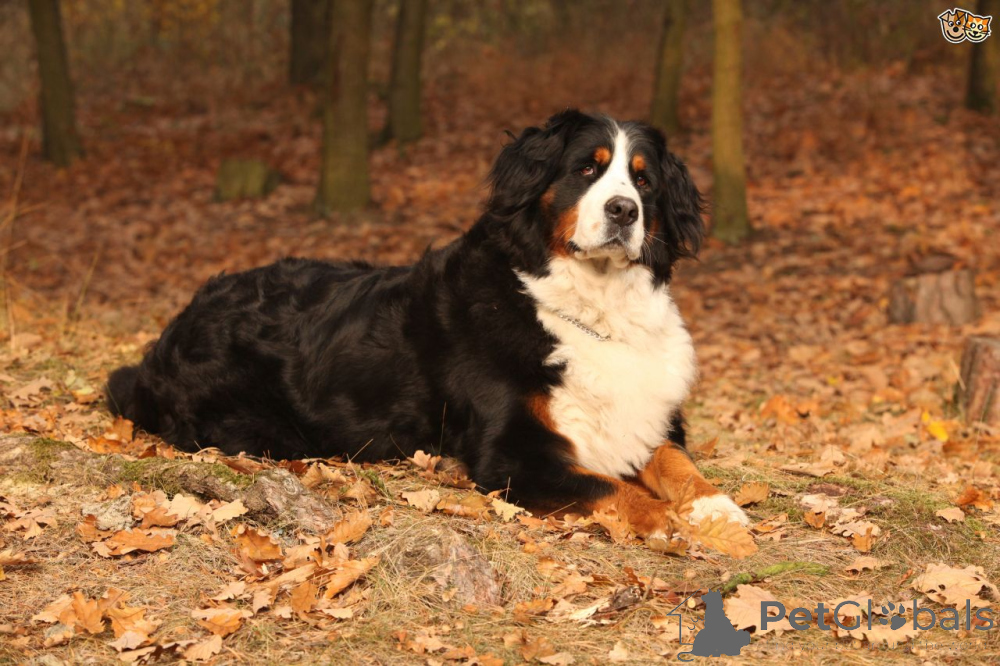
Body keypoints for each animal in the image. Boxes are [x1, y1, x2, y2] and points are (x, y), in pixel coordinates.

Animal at [106, 110, 748, 540]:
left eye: (643, 181)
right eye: (586, 171)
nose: (623, 211)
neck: (588, 305)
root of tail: (171, 332)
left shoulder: (648, 416)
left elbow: (674, 461)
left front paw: (716, 509)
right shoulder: (513, 454)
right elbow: (613, 487)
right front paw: (671, 520)